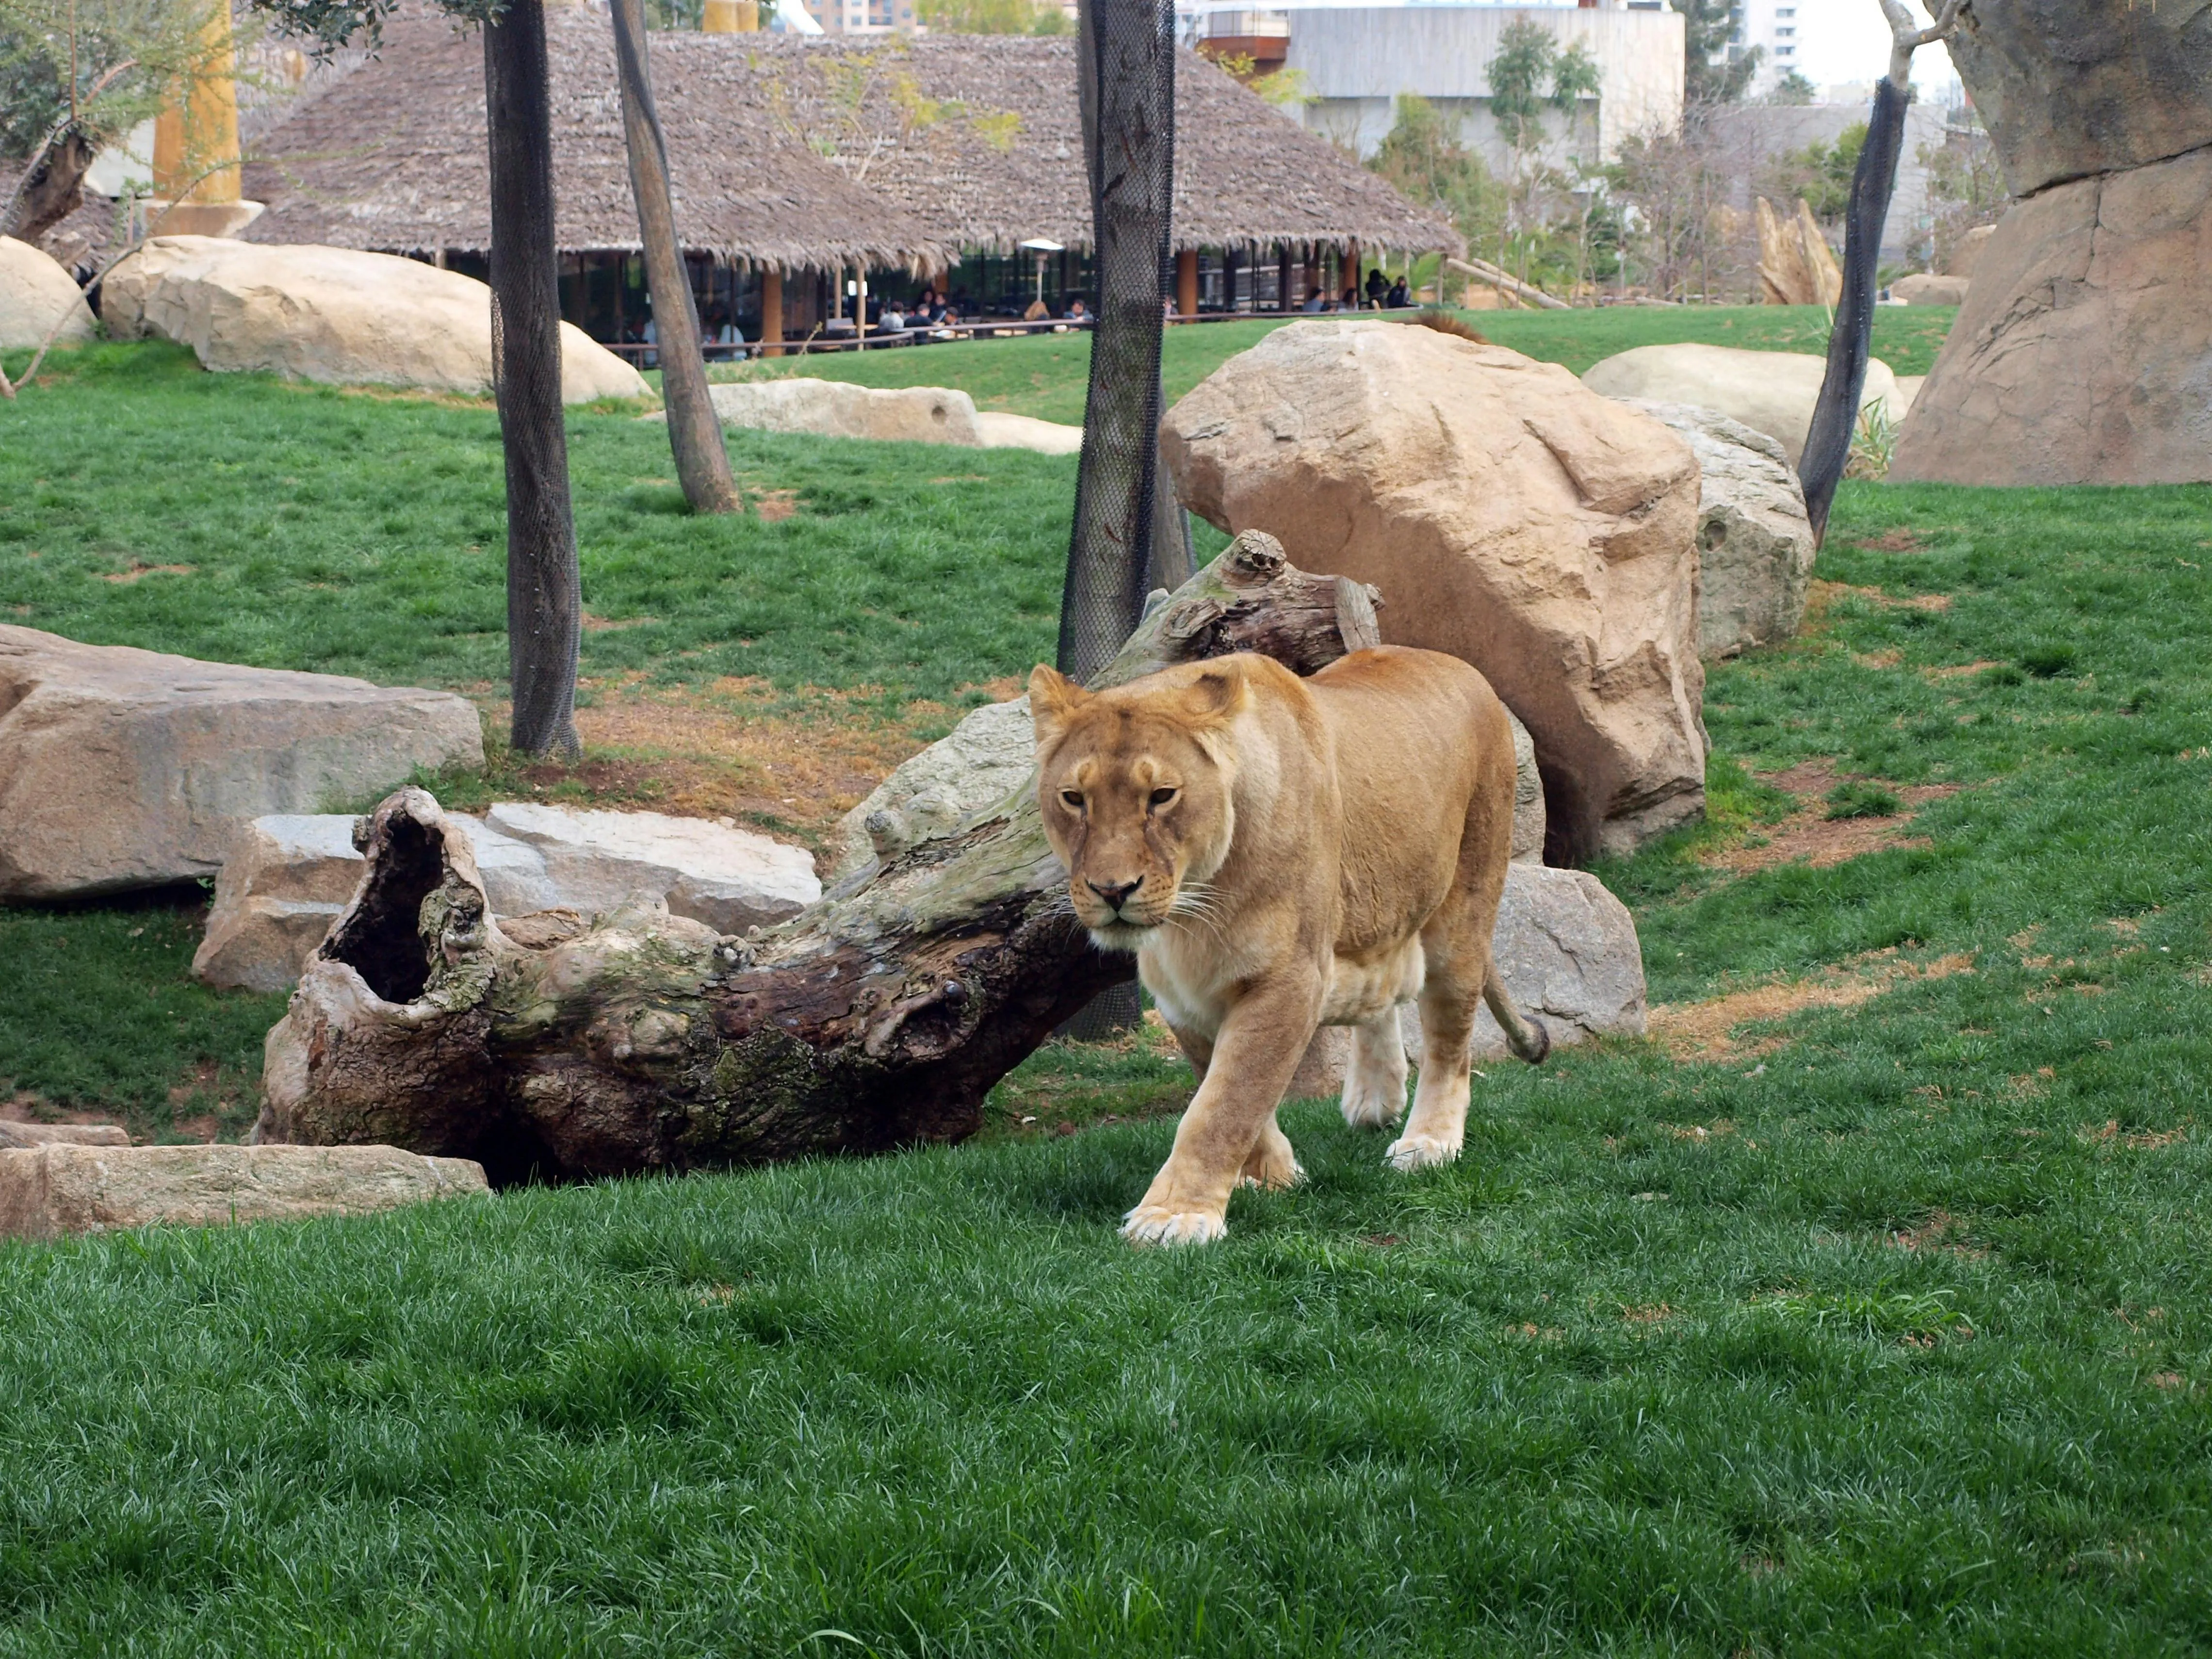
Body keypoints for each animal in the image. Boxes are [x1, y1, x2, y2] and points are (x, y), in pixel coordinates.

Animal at [1029, 645, 1550, 1246]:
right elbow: (1222, 1084)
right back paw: (1375, 1098)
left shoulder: (1290, 977)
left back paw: (1430, 1143)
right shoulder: (1182, 993)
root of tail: (1457, 665)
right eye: (1074, 799)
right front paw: (1275, 1176)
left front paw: (1175, 1216)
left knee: (1450, 1041)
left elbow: (1227, 1100)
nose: (1112, 891)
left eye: (1162, 796)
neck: (1194, 907)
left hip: (1464, 908)